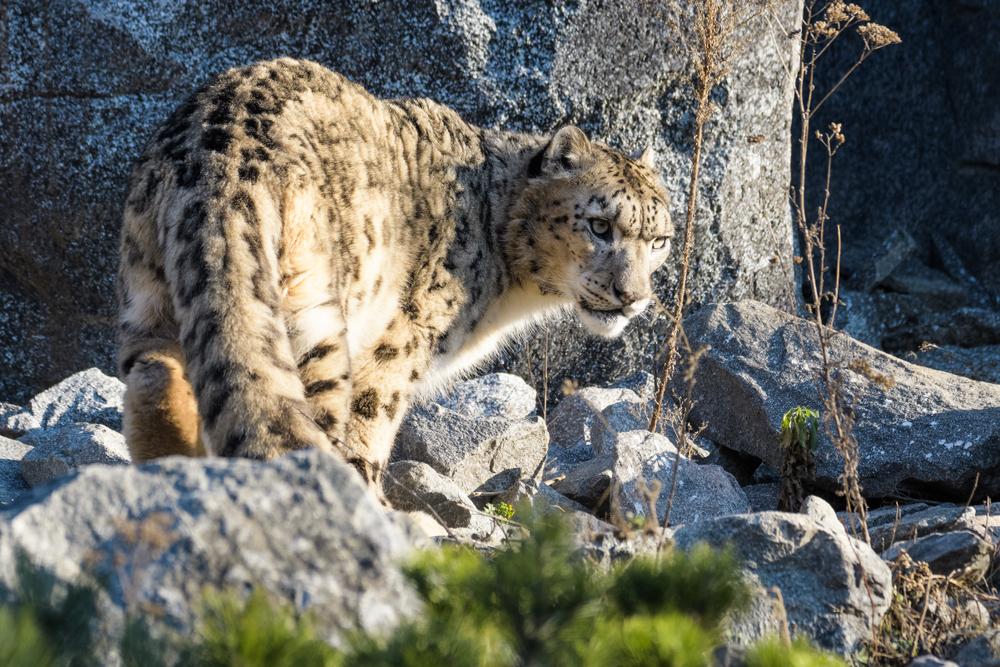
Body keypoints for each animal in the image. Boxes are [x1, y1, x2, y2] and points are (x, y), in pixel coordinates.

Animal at [117, 57, 674, 498]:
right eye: (599, 225)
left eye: (660, 240)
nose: (632, 297)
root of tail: (221, 160)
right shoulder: (401, 342)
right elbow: (371, 424)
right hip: (315, 312)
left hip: (150, 291)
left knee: (156, 375)